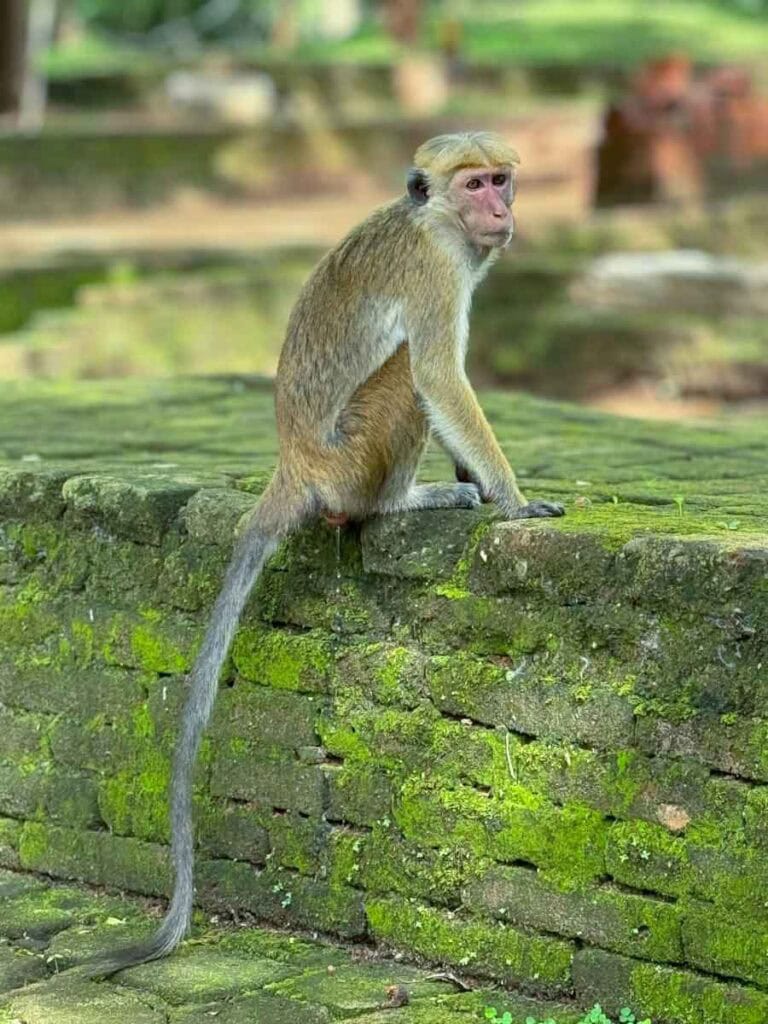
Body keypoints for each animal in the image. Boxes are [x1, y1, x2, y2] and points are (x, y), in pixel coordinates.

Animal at [87, 130, 564, 977]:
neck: (434, 219)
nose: (501, 209)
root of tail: (297, 464)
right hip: (355, 452)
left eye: (501, 180)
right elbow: (439, 374)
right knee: (406, 372)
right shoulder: (435, 270)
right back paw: (400, 503)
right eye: (474, 185)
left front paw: (479, 479)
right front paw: (510, 500)